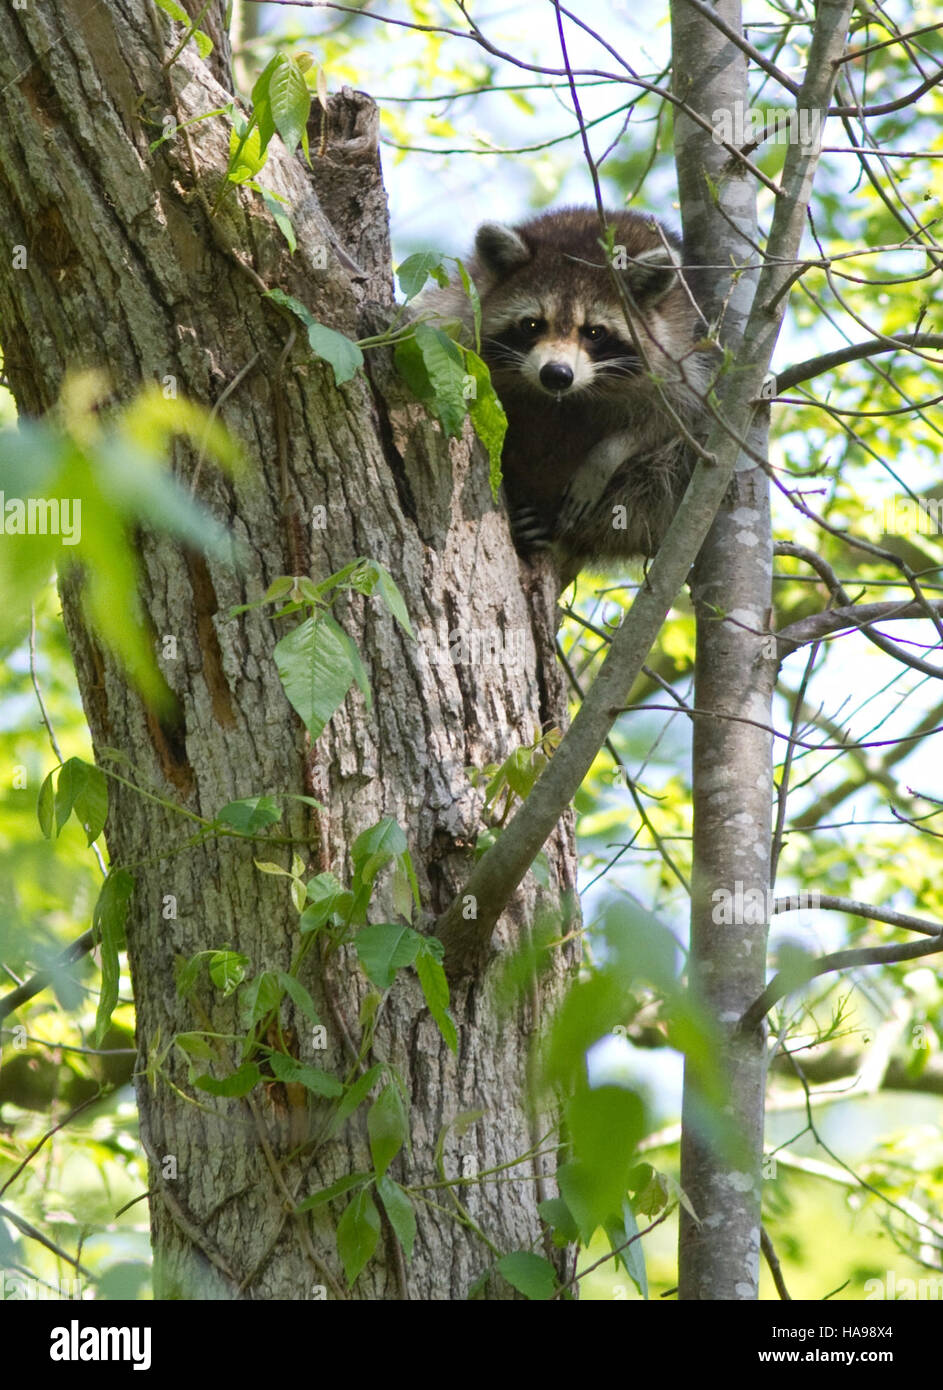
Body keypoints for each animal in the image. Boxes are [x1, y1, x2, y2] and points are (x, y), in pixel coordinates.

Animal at [418, 207, 713, 582]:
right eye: (532, 324)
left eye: (595, 332)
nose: (556, 374)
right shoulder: (462, 317)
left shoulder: (680, 354)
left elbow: (678, 422)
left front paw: (603, 460)